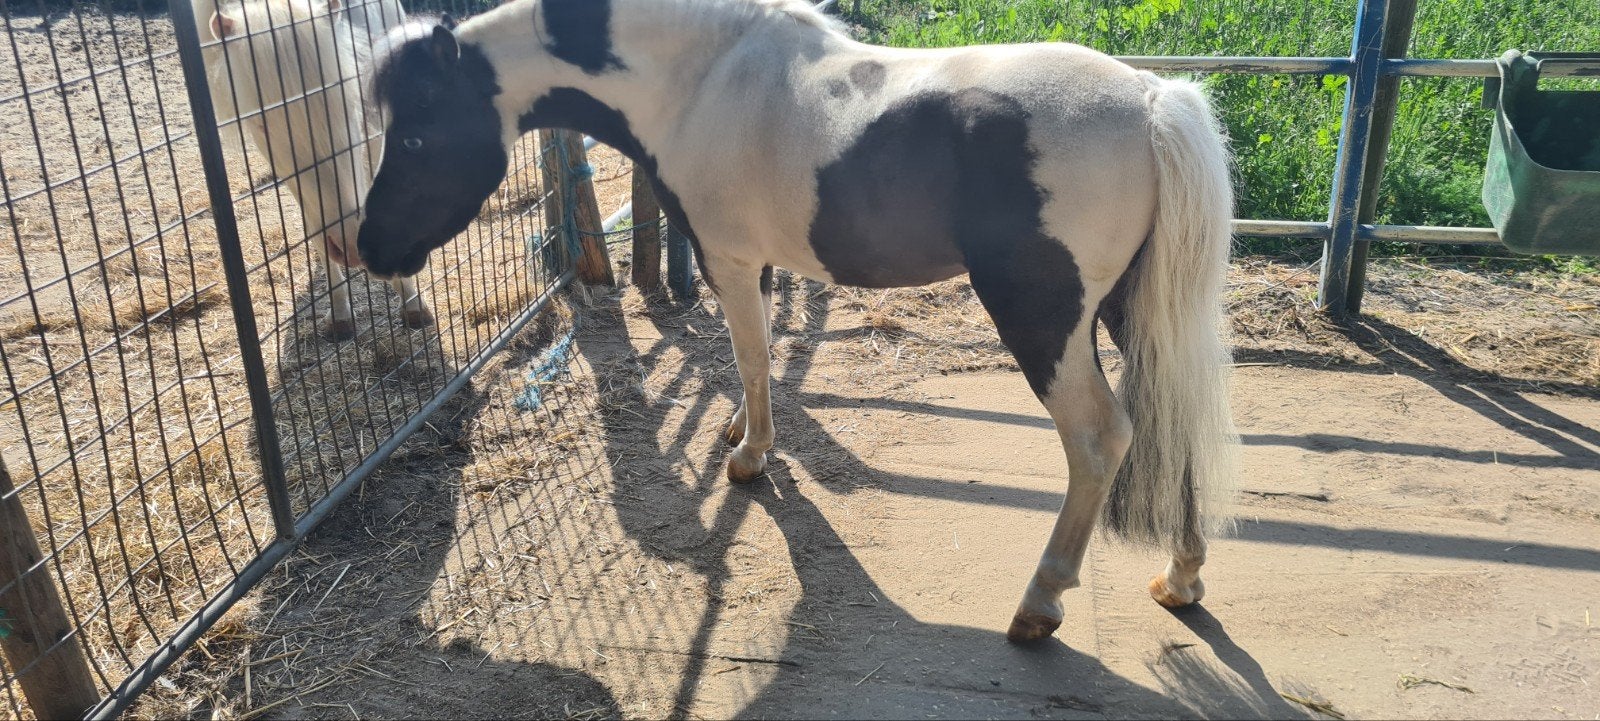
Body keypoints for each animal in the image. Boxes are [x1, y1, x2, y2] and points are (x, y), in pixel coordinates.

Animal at [197, 0, 431, 340]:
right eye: (261, 124)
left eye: (349, 102)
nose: (351, 244)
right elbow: (315, 227)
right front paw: (340, 313)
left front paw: (411, 300)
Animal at [356, 0, 1239, 643]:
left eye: (416, 134)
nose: (370, 247)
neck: (699, 79)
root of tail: (1153, 99)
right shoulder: (754, 263)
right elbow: (754, 356)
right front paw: (740, 433)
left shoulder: (729, 257)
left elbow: (748, 355)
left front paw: (750, 458)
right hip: (1131, 312)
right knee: (1174, 418)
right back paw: (1182, 578)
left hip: (1047, 321)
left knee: (1099, 438)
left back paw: (1040, 602)